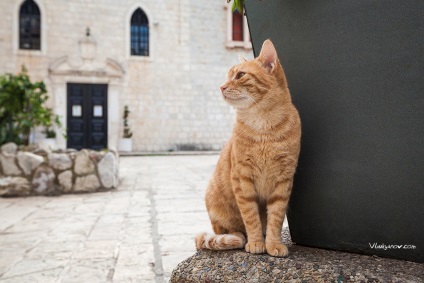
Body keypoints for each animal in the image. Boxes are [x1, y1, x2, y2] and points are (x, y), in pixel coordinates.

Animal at [195, 38, 302, 258]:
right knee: (231, 232)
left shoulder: (283, 181)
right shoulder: (242, 179)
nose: (221, 87)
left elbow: (275, 217)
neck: (263, 126)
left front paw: (273, 243)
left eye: (240, 75)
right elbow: (251, 217)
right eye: (227, 76)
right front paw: (255, 243)